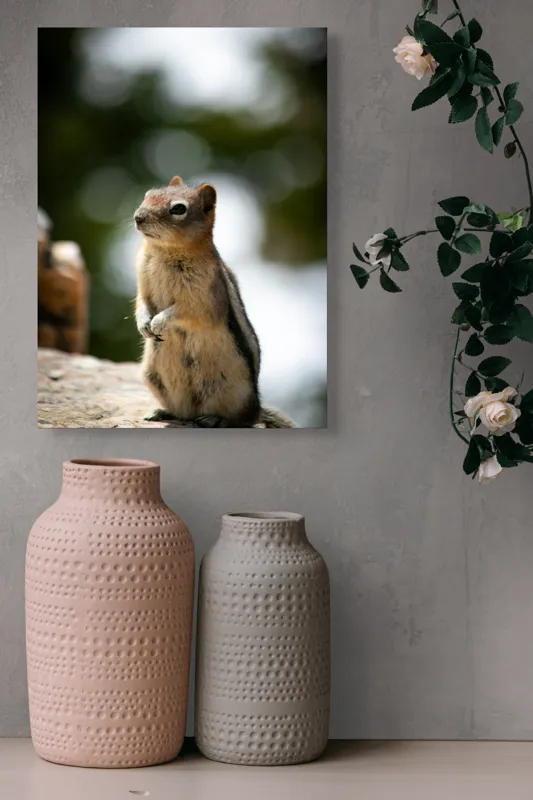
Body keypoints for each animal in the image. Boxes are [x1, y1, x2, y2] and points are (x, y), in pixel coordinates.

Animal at [133, 176, 297, 428]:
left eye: (178, 209)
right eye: (148, 194)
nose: (138, 217)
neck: (165, 252)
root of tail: (257, 409)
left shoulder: (204, 297)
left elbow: (188, 312)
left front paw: (159, 321)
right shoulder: (143, 285)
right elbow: (141, 303)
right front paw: (144, 323)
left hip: (228, 390)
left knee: (240, 420)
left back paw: (215, 419)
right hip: (152, 377)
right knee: (183, 412)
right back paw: (162, 412)